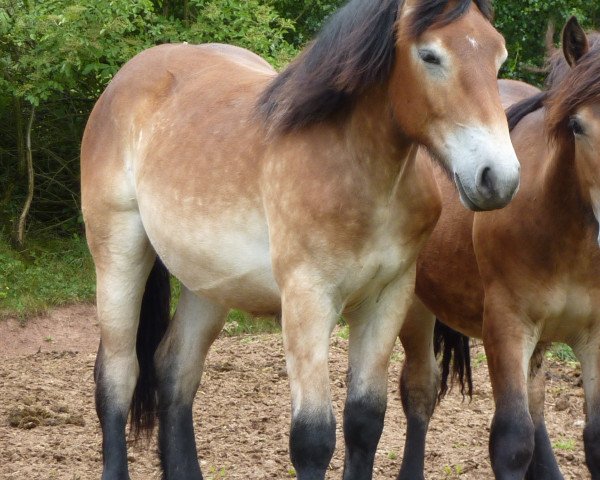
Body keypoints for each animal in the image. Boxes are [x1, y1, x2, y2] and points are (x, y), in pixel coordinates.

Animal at [81, 0, 520, 480]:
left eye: (498, 58)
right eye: (430, 56)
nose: (498, 178)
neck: (354, 167)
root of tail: (128, 78)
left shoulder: (388, 297)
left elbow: (365, 420)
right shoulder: (308, 301)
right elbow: (313, 438)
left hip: (208, 284)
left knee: (174, 371)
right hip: (118, 256)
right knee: (118, 374)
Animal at [398, 16, 600, 478]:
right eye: (577, 126)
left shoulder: (595, 334)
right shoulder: (507, 325)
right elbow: (511, 441)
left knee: (536, 404)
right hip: (414, 306)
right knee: (419, 391)